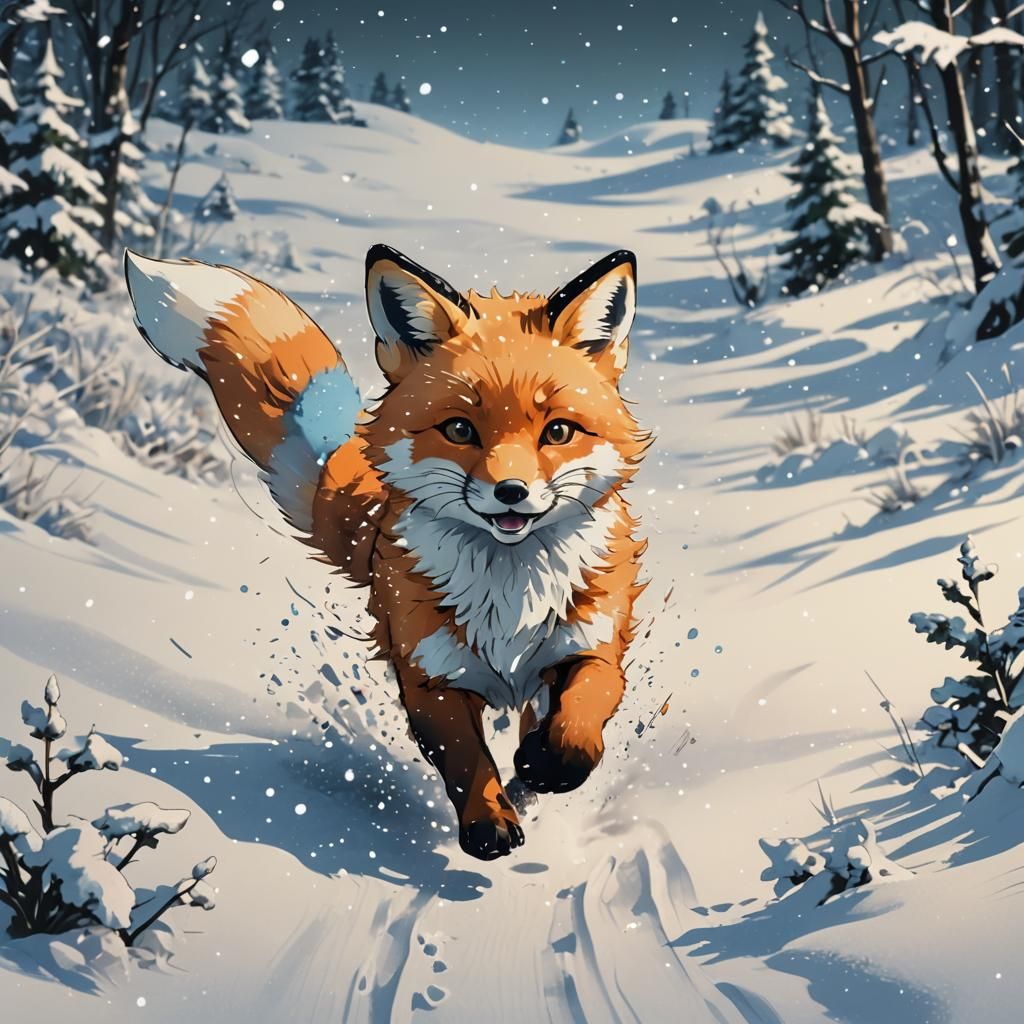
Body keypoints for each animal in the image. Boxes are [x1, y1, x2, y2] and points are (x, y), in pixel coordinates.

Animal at [124, 244, 649, 860]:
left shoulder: (591, 647)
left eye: (559, 432)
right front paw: (488, 824)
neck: (507, 594)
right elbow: (467, 764)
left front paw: (546, 767)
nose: (511, 492)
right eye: (459, 429)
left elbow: (579, 727)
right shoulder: (430, 678)